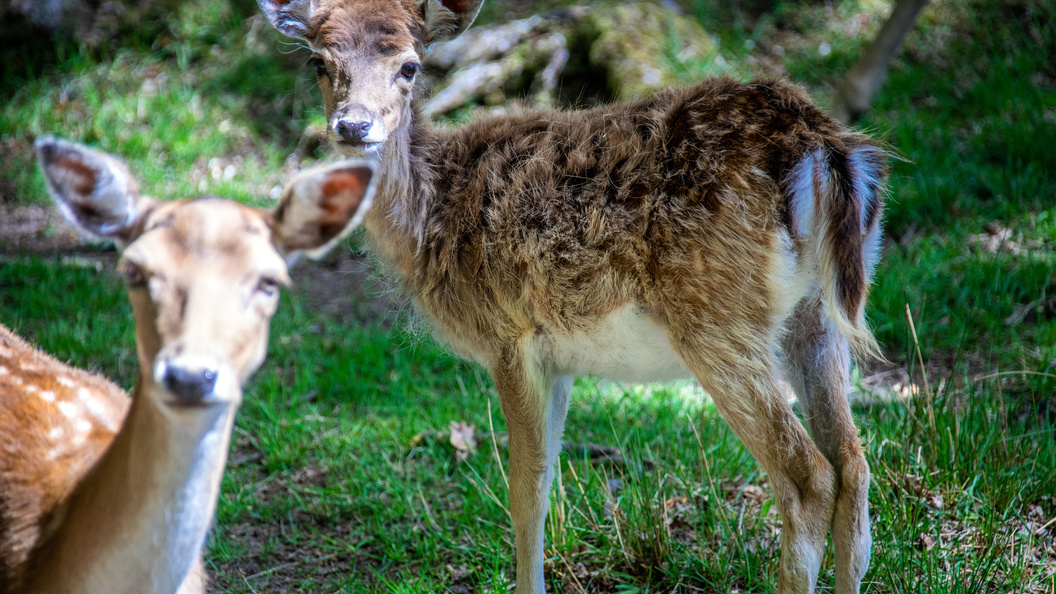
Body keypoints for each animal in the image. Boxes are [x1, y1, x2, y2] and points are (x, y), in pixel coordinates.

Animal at [259, 2, 887, 587]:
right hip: (817, 316)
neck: (432, 217)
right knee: (854, 465)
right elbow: (548, 479)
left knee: (809, 477)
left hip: (718, 318)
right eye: (320, 62)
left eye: (409, 66)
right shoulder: (558, 358)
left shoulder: (510, 334)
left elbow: (525, 492)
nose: (352, 125)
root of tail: (821, 147)